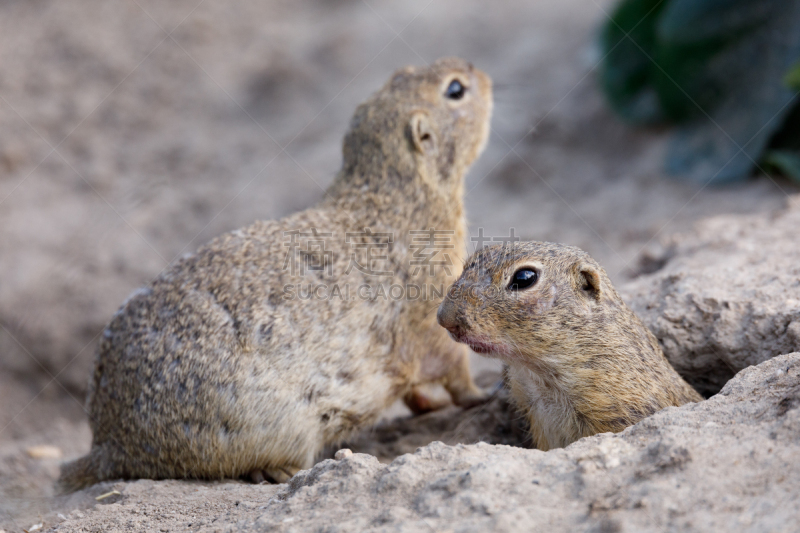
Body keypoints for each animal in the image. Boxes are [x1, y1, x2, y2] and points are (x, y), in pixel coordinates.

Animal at [59, 56, 490, 488]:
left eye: (402, 73)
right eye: (455, 90)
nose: (479, 70)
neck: (397, 195)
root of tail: (110, 445)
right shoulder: (431, 303)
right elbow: (454, 367)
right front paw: (481, 394)